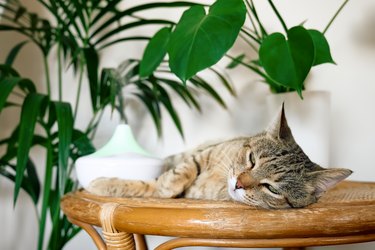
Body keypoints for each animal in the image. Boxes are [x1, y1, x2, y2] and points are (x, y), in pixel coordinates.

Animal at [88, 105, 352, 209]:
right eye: (252, 159)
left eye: (272, 189)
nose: (239, 183)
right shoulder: (204, 154)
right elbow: (177, 173)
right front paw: (167, 185)